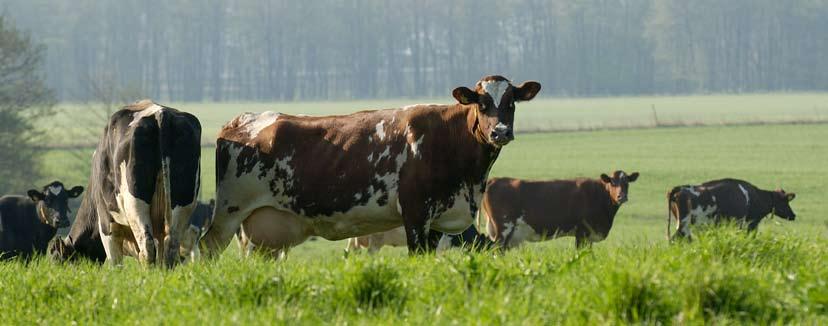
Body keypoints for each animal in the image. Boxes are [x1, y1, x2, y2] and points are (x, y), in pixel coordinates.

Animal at [197, 75, 540, 256]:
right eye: (482, 103)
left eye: (511, 102)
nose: (500, 132)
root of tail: (244, 119)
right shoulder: (415, 212)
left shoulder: (436, 220)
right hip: (229, 211)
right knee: (207, 248)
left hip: (264, 231)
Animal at [482, 171, 636, 247]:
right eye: (612, 182)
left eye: (627, 182)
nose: (622, 196)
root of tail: (494, 180)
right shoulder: (582, 232)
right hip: (503, 229)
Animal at [668, 177, 796, 241]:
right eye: (785, 201)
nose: (793, 215)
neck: (755, 197)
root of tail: (680, 188)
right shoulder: (746, 223)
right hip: (684, 224)